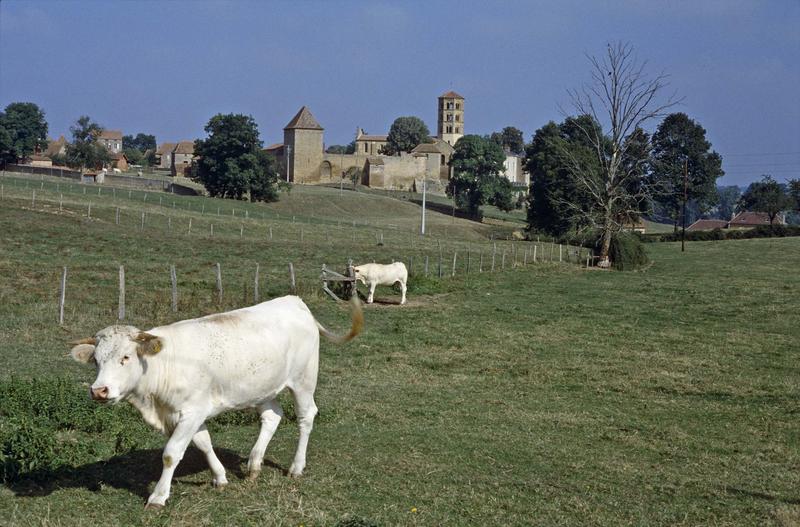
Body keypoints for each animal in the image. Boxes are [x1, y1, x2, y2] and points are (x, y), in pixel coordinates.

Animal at [69, 294, 362, 510]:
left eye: (126, 357)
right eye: (96, 360)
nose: (99, 390)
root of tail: (295, 301)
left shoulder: (191, 412)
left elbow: (171, 453)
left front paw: (158, 497)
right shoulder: (194, 413)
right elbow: (204, 443)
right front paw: (220, 477)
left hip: (303, 380)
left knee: (305, 417)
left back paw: (296, 467)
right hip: (262, 388)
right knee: (273, 415)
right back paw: (254, 464)